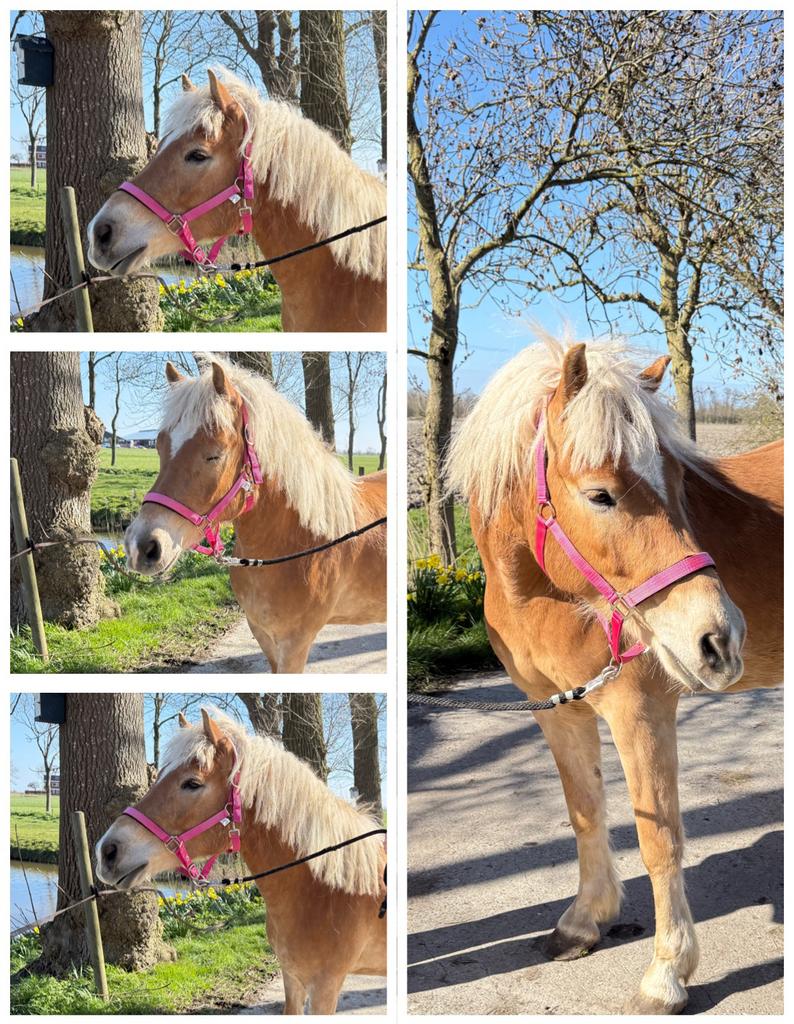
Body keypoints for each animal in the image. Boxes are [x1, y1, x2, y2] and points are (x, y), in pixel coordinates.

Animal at [123, 356, 387, 673]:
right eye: (160, 446)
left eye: (215, 454)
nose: (141, 546)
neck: (304, 542)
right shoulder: (263, 636)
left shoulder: (294, 645)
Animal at [446, 337, 782, 1014]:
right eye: (601, 494)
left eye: (682, 483)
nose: (719, 638)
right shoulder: (559, 710)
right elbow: (584, 811)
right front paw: (585, 923)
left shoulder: (639, 712)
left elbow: (660, 839)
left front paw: (667, 974)